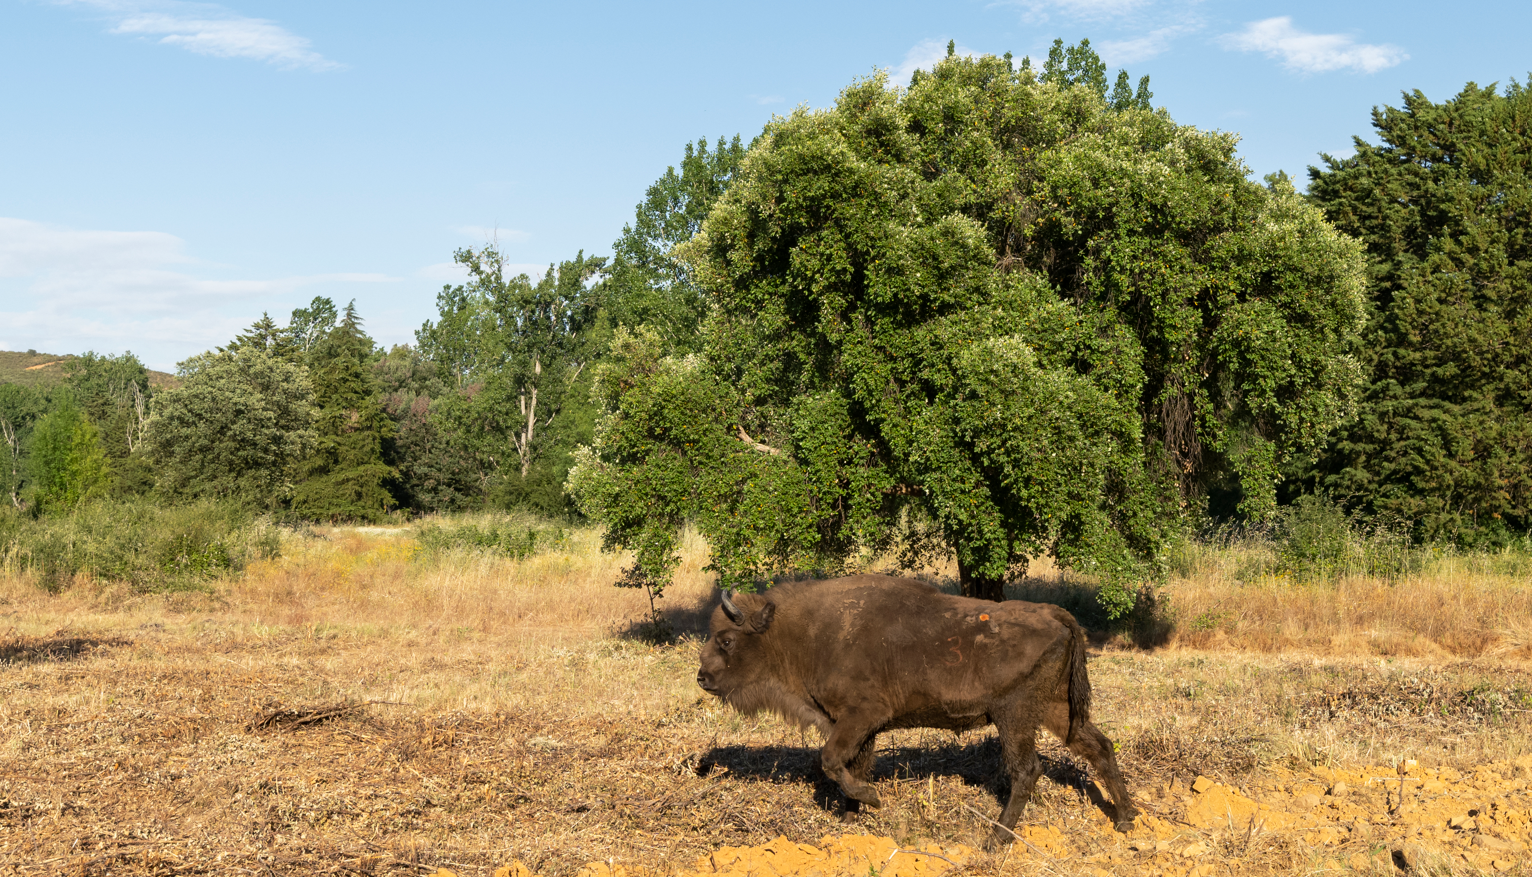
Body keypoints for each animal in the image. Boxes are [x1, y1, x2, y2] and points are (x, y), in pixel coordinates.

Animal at [695, 573, 1139, 846]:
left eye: (727, 640)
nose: (702, 678)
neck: (808, 632)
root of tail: (1055, 614)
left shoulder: (861, 716)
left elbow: (832, 761)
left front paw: (872, 801)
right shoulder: (858, 728)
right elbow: (851, 766)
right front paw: (850, 821)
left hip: (1013, 716)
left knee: (1027, 770)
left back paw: (995, 840)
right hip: (1056, 711)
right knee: (1100, 747)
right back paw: (1125, 819)